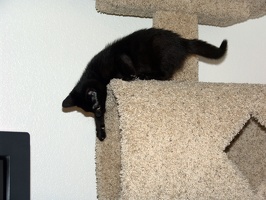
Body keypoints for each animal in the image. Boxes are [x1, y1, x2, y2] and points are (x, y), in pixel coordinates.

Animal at [61, 27, 227, 141]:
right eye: (91, 111)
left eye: (97, 107)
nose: (99, 113)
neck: (95, 73)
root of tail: (182, 41)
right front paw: (100, 131)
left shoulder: (120, 57)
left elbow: (126, 66)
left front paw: (131, 77)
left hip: (159, 50)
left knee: (165, 74)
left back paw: (145, 76)